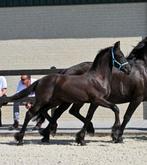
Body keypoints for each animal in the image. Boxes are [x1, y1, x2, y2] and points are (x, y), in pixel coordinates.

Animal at [0, 42, 131, 145]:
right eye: (120, 55)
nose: (128, 70)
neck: (98, 78)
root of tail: (41, 80)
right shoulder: (98, 100)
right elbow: (115, 108)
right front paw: (115, 131)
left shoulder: (94, 102)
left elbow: (89, 117)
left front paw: (81, 138)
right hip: (43, 100)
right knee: (30, 113)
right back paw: (20, 139)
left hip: (55, 101)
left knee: (47, 111)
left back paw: (48, 130)